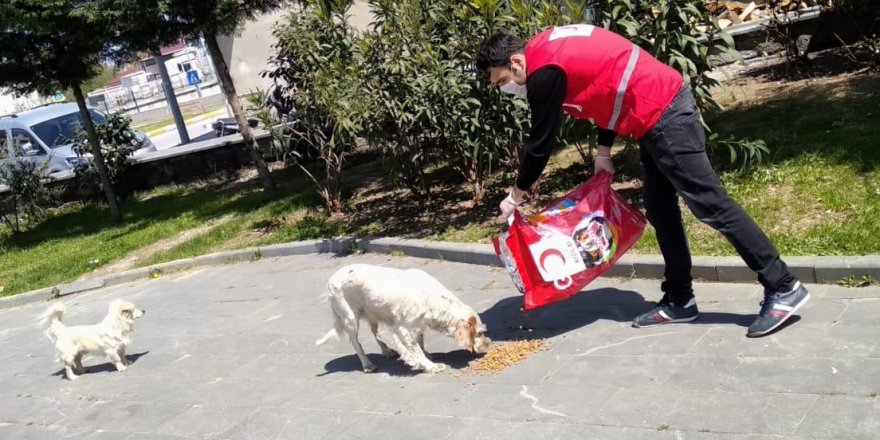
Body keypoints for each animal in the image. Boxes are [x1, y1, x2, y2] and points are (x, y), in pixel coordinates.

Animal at [318, 262, 496, 372]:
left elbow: (420, 343)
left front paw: (427, 355)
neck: (433, 298)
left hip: (374, 313)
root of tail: (330, 280)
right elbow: (415, 350)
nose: (488, 344)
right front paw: (430, 365)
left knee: (375, 333)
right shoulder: (402, 329)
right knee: (357, 344)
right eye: (480, 333)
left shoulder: (419, 325)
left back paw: (386, 351)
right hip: (350, 319)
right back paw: (368, 365)